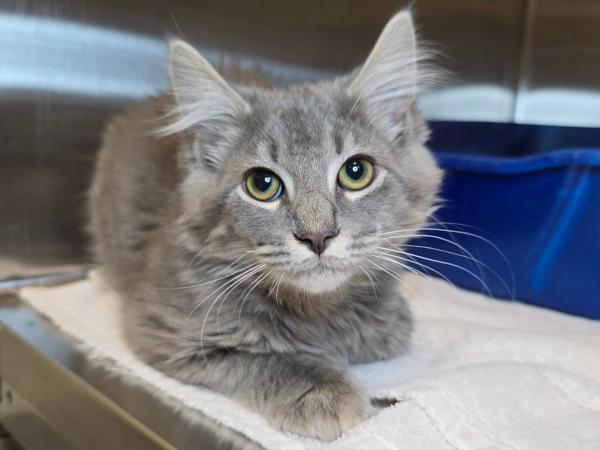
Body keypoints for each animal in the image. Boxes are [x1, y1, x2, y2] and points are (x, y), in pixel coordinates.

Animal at [90, 11, 440, 442]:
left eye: (357, 172)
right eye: (262, 184)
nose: (317, 236)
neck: (318, 311)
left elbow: (390, 330)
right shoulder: (165, 330)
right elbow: (267, 358)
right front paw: (322, 390)